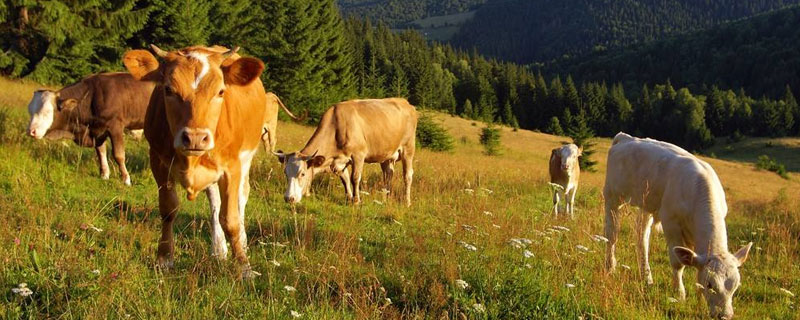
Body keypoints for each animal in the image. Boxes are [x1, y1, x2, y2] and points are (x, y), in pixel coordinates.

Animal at [26, 73, 154, 185]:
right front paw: (104, 175)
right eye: (30, 110)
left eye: (47, 111)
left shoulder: (115, 126)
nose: (31, 131)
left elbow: (119, 154)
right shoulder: (97, 130)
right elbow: (101, 152)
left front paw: (126, 179)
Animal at [120, 45, 268, 278]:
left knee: (241, 197)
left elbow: (231, 219)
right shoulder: (158, 162)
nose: (196, 138)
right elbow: (168, 210)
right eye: (168, 90)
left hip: (246, 159)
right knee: (214, 202)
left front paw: (244, 267)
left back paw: (242, 243)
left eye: (220, 92)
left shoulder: (232, 167)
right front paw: (164, 259)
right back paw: (218, 250)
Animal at [276, 99, 418, 206]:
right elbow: (345, 180)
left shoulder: (358, 155)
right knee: (388, 175)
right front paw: (349, 198)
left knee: (407, 176)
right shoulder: (338, 162)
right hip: (386, 155)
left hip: (408, 149)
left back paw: (407, 202)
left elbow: (354, 178)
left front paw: (356, 201)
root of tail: (406, 103)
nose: (289, 198)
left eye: (302, 174)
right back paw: (385, 199)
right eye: (285, 173)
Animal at [604, 131, 752, 318]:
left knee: (641, 238)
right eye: (710, 284)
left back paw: (647, 278)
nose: (725, 315)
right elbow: (677, 263)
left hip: (647, 205)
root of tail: (625, 138)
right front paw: (679, 294)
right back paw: (610, 267)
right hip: (612, 196)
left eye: (735, 286)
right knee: (612, 235)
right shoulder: (671, 223)